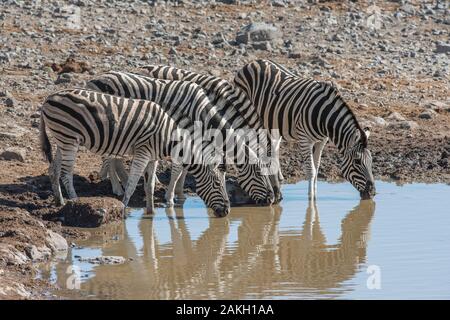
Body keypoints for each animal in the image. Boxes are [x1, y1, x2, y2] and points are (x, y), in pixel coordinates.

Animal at [40, 89, 230, 216]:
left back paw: (59, 201)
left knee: (53, 170)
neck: (167, 137)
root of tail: (49, 98)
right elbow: (132, 183)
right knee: (66, 174)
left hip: (62, 139)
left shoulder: (152, 158)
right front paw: (124, 207)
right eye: (217, 185)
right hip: (69, 138)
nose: (227, 211)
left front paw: (151, 212)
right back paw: (74, 201)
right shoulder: (143, 152)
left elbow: (150, 185)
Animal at [85, 72, 272, 206]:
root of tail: (94, 78)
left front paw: (180, 194)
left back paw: (122, 181)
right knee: (109, 157)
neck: (199, 112)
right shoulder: (180, 133)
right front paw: (170, 197)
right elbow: (178, 169)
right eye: (260, 174)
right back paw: (117, 187)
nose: (270, 200)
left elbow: (185, 168)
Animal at [234, 59, 374, 199]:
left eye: (371, 160)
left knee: (274, 145)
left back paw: (278, 175)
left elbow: (317, 167)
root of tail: (253, 62)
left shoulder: (322, 140)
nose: (372, 192)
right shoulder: (304, 139)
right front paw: (311, 197)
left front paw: (316, 192)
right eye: (357, 162)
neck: (323, 116)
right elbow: (311, 170)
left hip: (273, 122)